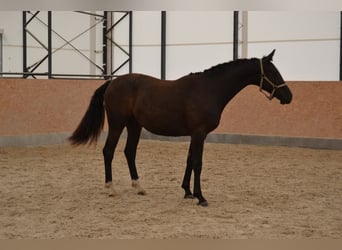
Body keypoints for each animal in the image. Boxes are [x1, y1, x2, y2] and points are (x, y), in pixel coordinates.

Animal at [69, 49, 292, 206]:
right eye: (272, 72)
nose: (289, 96)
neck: (209, 89)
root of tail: (112, 82)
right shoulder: (199, 133)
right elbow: (198, 163)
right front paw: (201, 197)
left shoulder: (195, 134)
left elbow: (189, 161)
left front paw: (187, 192)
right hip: (118, 124)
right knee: (108, 151)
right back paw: (111, 188)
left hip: (135, 125)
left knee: (129, 152)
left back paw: (139, 187)